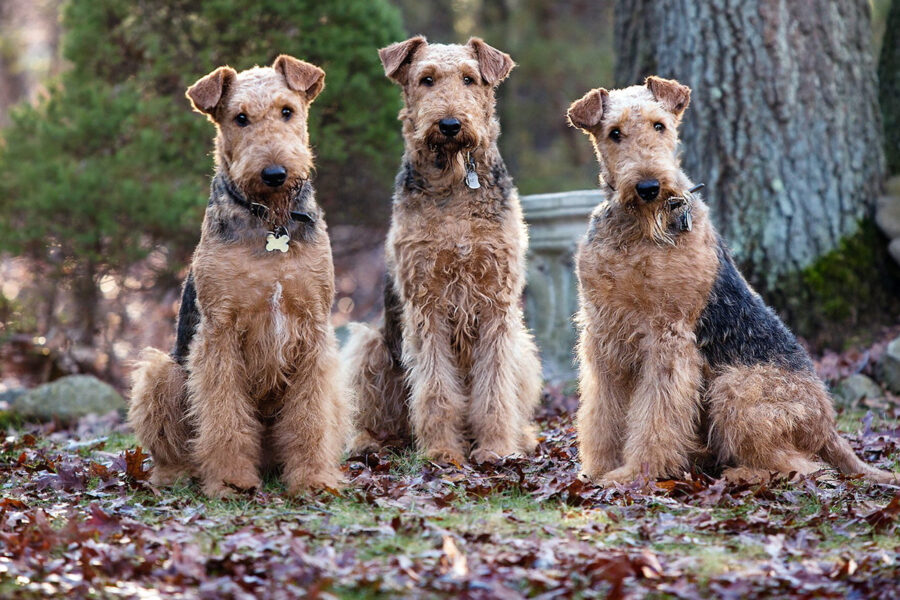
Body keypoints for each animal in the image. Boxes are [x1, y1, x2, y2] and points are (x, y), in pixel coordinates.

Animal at [128, 56, 346, 496]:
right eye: (240, 118)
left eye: (287, 111)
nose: (275, 173)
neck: (271, 223)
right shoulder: (220, 332)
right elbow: (224, 414)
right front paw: (231, 480)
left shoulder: (314, 330)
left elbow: (310, 418)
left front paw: (313, 477)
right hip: (162, 373)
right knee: (173, 450)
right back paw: (177, 476)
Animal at [568, 76, 900, 488]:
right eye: (614, 133)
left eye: (660, 125)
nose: (648, 187)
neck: (638, 232)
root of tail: (829, 425)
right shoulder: (604, 335)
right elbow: (602, 413)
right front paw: (598, 469)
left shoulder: (668, 337)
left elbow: (656, 416)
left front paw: (636, 472)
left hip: (734, 387)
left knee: (804, 467)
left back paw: (739, 473)